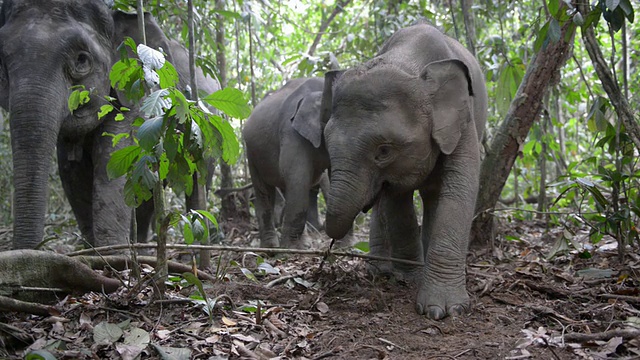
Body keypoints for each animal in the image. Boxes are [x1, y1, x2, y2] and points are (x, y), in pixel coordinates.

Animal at [0, 0, 220, 249]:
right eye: (1, 62)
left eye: (81, 60)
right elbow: (72, 176)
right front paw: (96, 252)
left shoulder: (136, 96)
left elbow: (111, 166)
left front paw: (112, 253)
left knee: (197, 184)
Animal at [242, 77, 350, 249]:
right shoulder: (290, 132)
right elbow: (298, 178)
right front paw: (290, 249)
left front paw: (345, 247)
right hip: (251, 153)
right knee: (265, 193)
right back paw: (271, 247)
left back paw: (304, 245)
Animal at [322, 23, 488, 320]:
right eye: (326, 141)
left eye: (384, 151)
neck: (407, 60)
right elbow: (396, 199)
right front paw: (409, 279)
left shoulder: (464, 119)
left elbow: (461, 188)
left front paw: (444, 310)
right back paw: (381, 271)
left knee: (434, 196)